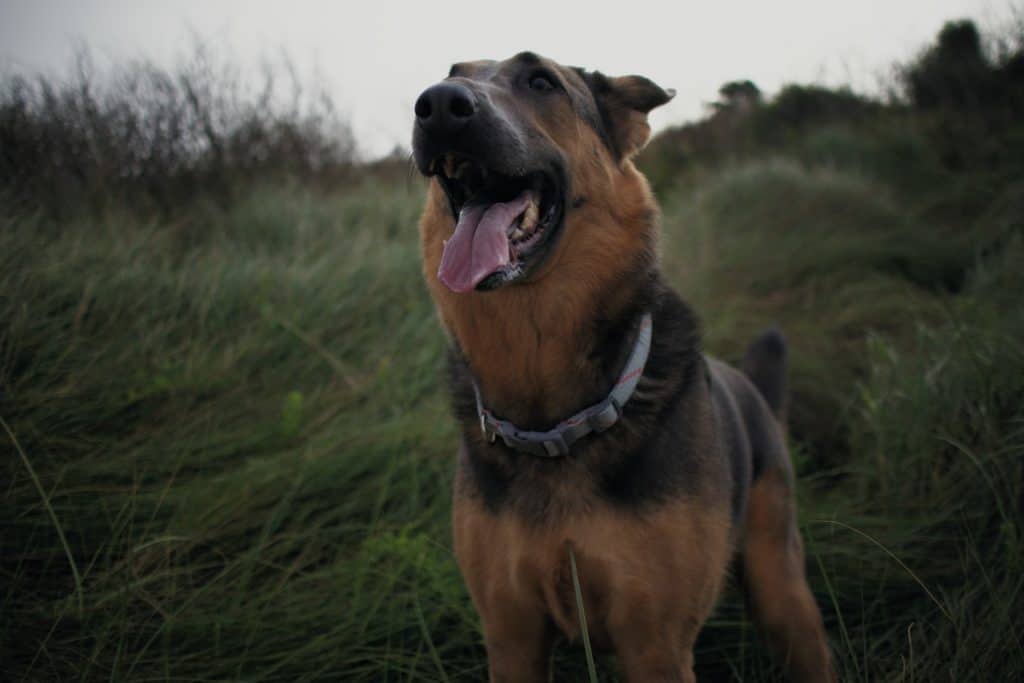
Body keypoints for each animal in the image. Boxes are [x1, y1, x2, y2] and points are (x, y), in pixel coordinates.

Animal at [407, 50, 831, 679]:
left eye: (540, 81)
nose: (437, 104)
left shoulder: (656, 644)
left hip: (781, 594)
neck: (553, 427)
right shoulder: (511, 635)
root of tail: (750, 385)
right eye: (454, 71)